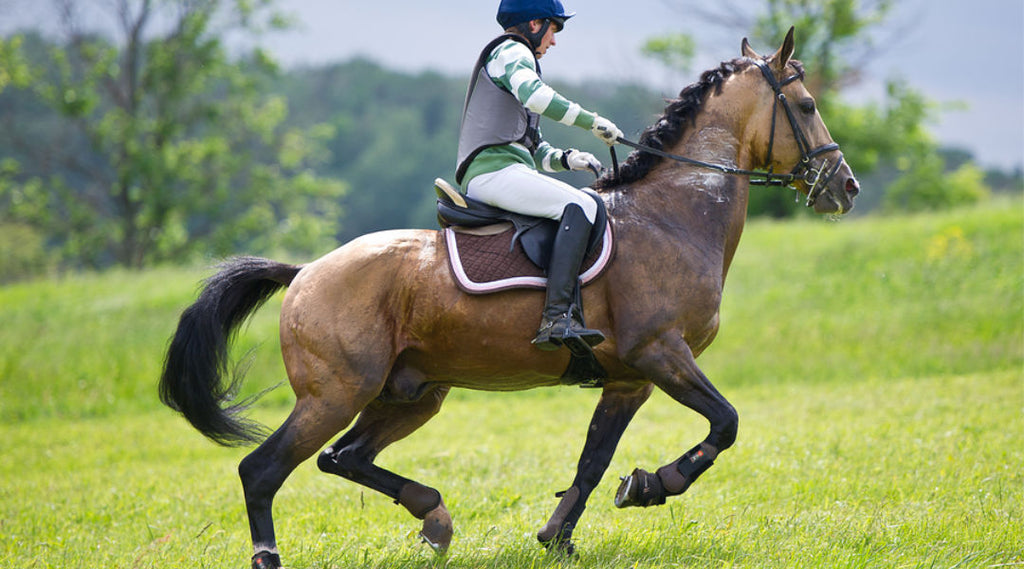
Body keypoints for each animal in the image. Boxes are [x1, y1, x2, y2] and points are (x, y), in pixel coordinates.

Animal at [159, 30, 860, 569]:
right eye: (805, 103)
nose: (845, 187)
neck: (674, 215)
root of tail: (306, 271)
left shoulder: (628, 379)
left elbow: (592, 463)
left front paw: (563, 535)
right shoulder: (661, 353)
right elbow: (726, 422)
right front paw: (654, 485)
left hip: (411, 393)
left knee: (346, 457)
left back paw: (435, 518)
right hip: (335, 394)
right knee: (264, 470)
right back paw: (272, 554)